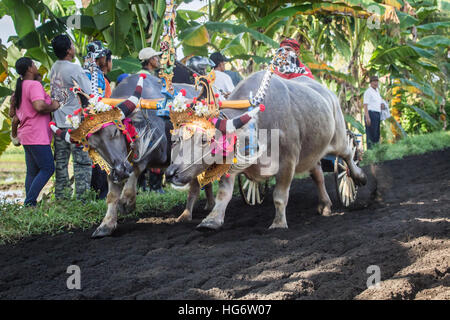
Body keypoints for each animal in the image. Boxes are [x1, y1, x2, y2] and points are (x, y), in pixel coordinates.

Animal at [165, 70, 366, 230]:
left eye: (205, 139)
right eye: (177, 138)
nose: (170, 173)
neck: (257, 124)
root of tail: (329, 94)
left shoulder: (287, 162)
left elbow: (279, 196)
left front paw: (278, 223)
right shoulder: (232, 166)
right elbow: (224, 194)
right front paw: (211, 221)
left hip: (339, 137)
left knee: (348, 155)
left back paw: (358, 177)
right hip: (311, 152)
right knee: (317, 174)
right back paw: (324, 205)